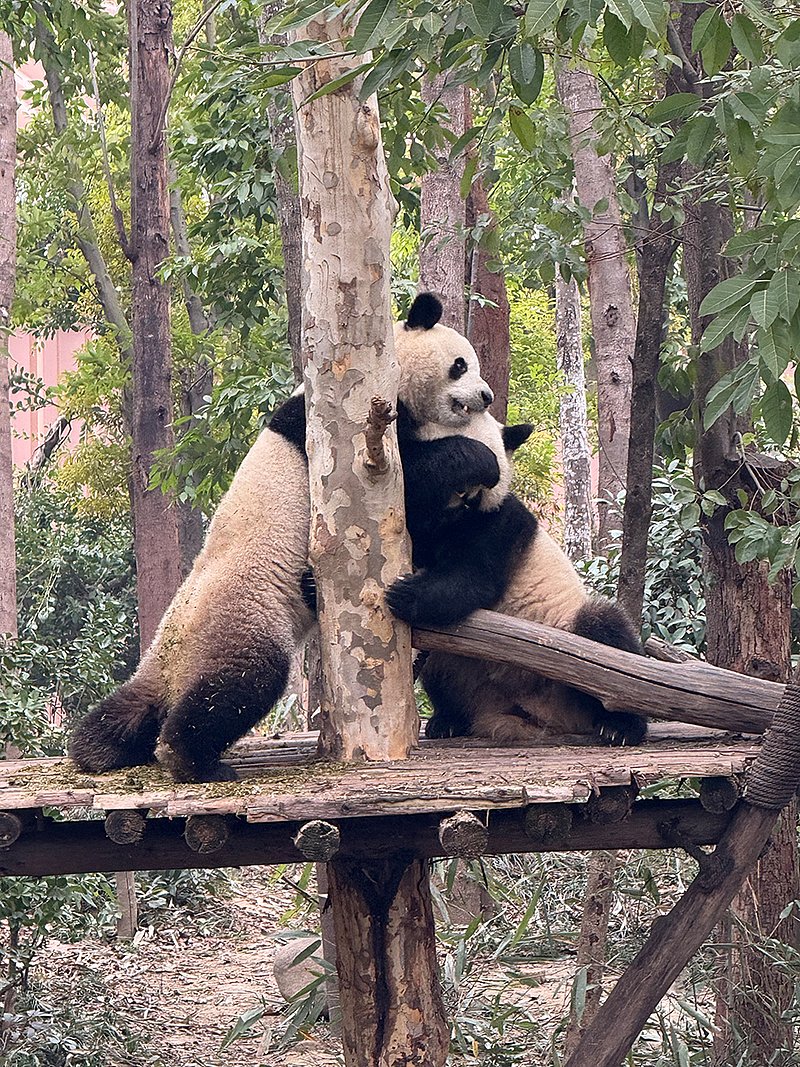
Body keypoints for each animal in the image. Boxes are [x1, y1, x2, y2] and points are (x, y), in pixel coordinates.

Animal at [69, 294, 509, 783]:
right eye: (460, 365)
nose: (487, 395)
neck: (385, 373)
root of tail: (173, 658)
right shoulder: (341, 432)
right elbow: (409, 476)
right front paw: (481, 460)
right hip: (245, 616)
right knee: (239, 684)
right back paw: (193, 760)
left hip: (169, 655)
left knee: (134, 706)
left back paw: (97, 748)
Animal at [387, 297, 648, 748]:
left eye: (472, 493)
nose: (452, 511)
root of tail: (541, 718)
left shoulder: (500, 526)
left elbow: (473, 578)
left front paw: (404, 593)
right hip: (465, 670)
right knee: (438, 667)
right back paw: (448, 721)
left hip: (570, 640)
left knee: (607, 632)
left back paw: (620, 727)